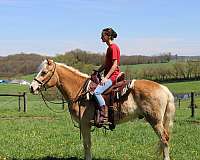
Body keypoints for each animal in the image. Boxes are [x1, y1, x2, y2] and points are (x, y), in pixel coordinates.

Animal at [29, 59, 175, 160]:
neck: (80, 90)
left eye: (44, 72)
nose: (32, 87)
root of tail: (164, 89)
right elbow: (87, 144)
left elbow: (87, 144)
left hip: (155, 121)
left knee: (164, 139)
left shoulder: (85, 124)